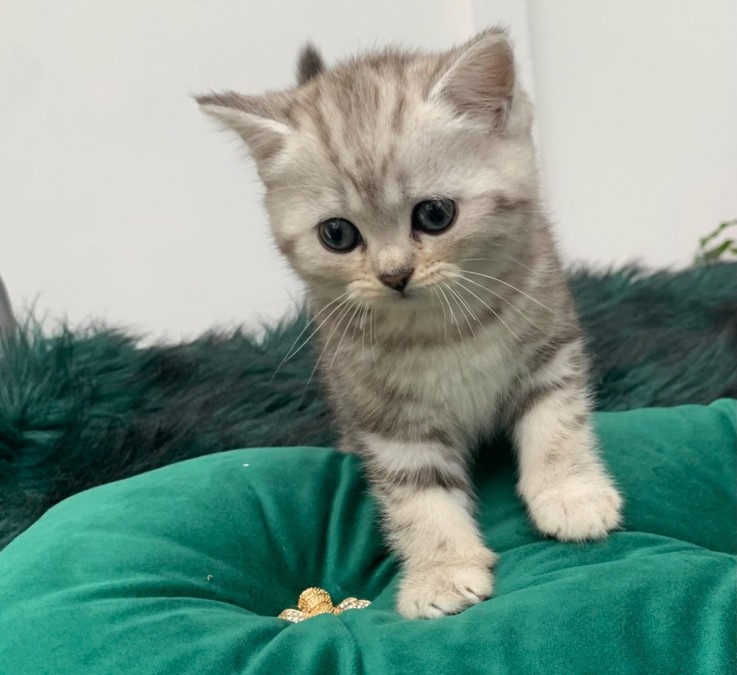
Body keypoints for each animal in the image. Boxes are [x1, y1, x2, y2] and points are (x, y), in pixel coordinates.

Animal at [197, 29, 620, 620]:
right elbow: (418, 496)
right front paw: (441, 571)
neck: (443, 328)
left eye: (435, 215)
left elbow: (557, 426)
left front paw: (569, 495)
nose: (393, 274)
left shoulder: (550, 349)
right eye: (337, 234)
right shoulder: (384, 417)